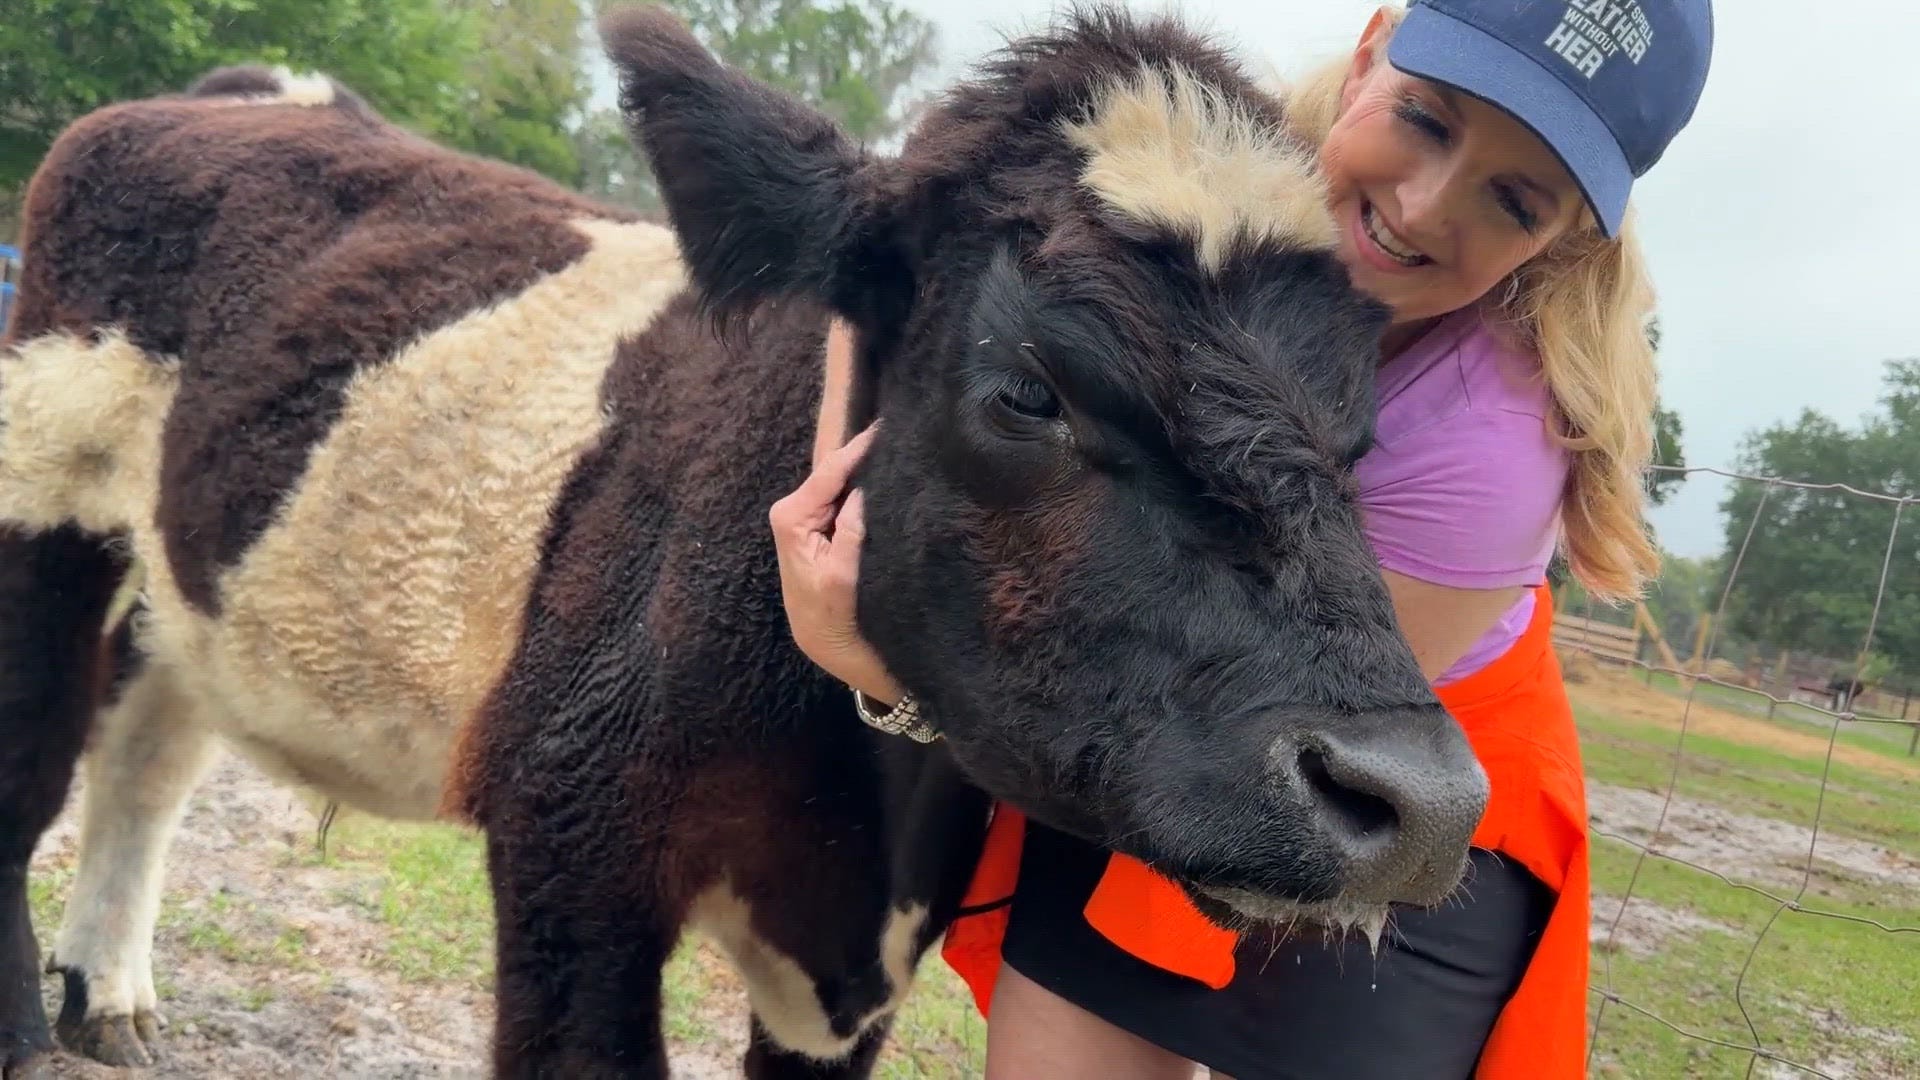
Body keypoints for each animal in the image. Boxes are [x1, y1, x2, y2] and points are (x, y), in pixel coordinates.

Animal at [0, 5, 1493, 1078]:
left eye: (1364, 437)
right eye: (1030, 391)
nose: (1414, 800)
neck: (857, 803)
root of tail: (252, 91)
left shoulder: (863, 957)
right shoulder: (569, 832)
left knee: (146, 747)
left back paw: (110, 999)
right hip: (45, 487)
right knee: (40, 754)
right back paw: (30, 1029)